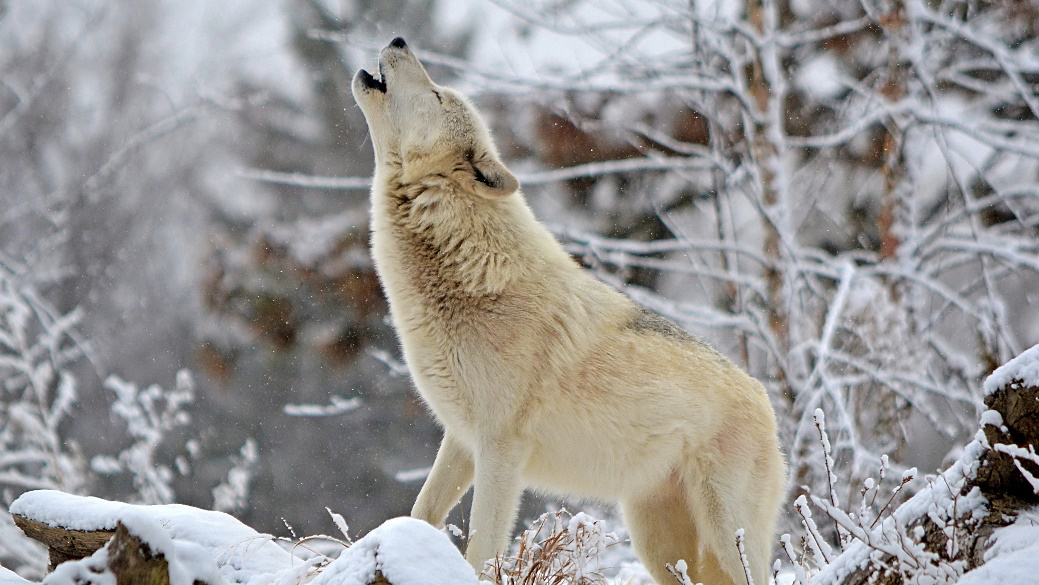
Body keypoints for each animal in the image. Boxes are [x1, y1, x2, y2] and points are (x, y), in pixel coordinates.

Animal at [351, 37, 785, 585]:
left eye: (436, 95)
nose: (399, 40)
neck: (468, 265)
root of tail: (764, 400)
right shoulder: (461, 439)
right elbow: (421, 512)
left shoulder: (501, 451)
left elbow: (481, 547)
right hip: (659, 546)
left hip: (727, 540)